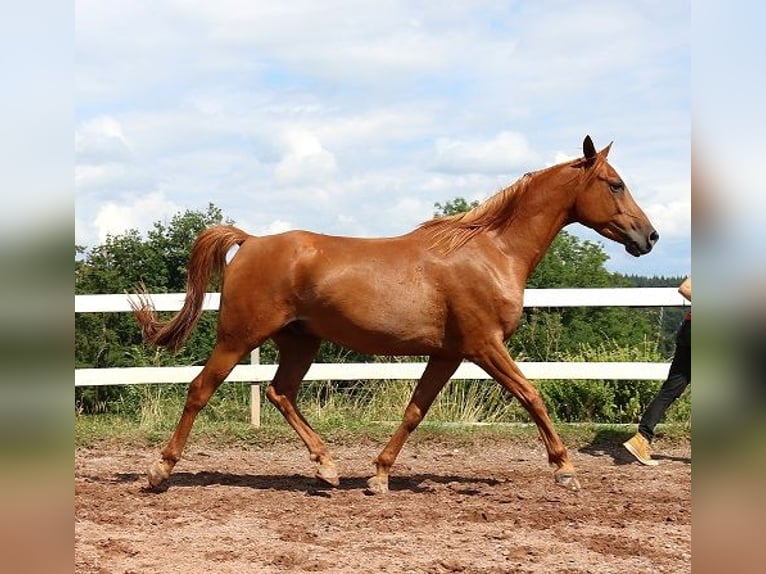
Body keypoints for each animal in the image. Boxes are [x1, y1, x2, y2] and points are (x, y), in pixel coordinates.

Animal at [131, 135, 658, 494]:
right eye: (615, 184)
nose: (649, 237)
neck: (493, 252)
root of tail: (252, 241)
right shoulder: (485, 345)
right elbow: (533, 396)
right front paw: (565, 469)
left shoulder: (448, 354)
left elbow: (415, 411)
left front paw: (379, 475)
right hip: (238, 338)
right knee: (200, 390)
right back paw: (159, 470)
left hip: (300, 340)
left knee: (282, 392)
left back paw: (327, 468)